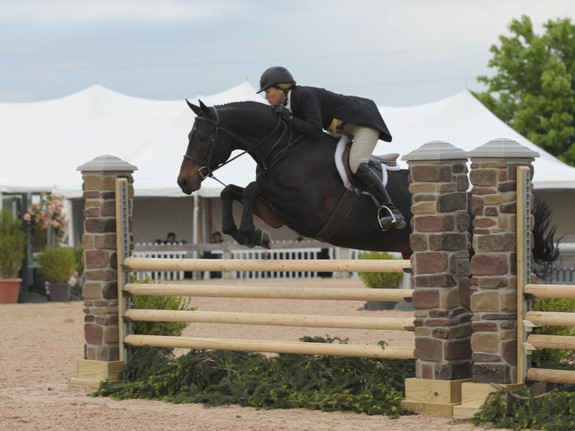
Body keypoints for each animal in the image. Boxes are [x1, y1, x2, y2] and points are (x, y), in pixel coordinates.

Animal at [178, 100, 560, 276]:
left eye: (203, 137)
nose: (185, 181)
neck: (284, 146)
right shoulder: (277, 211)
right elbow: (233, 191)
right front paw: (245, 233)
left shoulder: (305, 210)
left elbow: (252, 189)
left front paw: (251, 234)